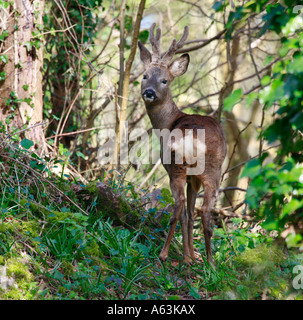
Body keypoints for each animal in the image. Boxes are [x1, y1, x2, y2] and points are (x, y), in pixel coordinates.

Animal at [139, 23, 227, 264]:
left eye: (164, 80)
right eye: (144, 76)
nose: (148, 92)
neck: (169, 122)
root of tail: (193, 139)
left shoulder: (177, 170)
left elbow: (186, 211)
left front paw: (187, 256)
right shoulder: (194, 179)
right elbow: (191, 212)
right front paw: (192, 256)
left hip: (176, 165)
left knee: (178, 205)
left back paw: (163, 253)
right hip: (213, 171)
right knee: (204, 211)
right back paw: (210, 262)